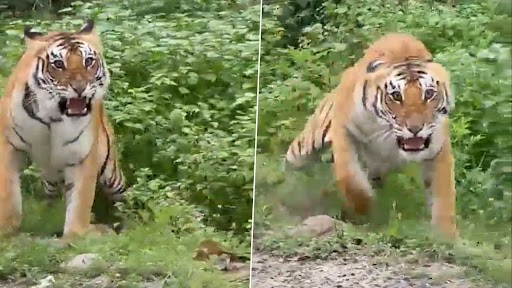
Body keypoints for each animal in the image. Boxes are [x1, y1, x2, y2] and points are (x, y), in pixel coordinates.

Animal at [0, 19, 127, 241]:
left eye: (89, 61)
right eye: (58, 64)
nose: (80, 87)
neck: (52, 118)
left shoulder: (82, 156)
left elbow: (80, 202)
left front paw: (76, 235)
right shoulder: (9, 145)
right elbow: (8, 194)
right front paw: (7, 230)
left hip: (111, 171)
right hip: (50, 178)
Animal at [284, 33, 460, 241]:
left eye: (429, 93)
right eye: (396, 95)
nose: (415, 128)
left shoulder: (438, 148)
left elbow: (443, 195)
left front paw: (445, 236)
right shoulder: (344, 131)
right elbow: (351, 180)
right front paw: (366, 211)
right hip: (308, 141)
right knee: (291, 164)